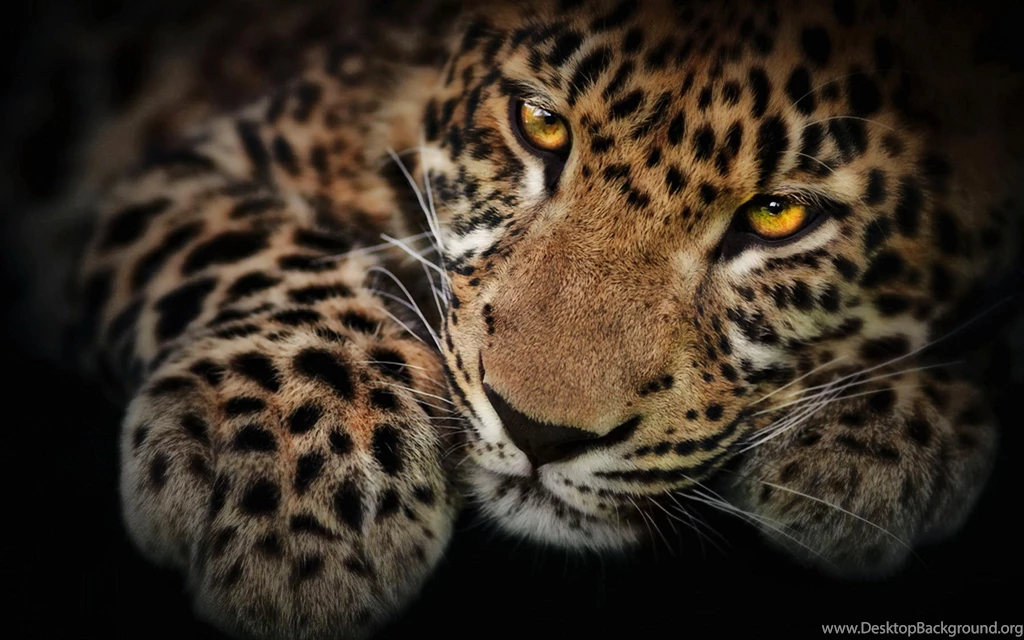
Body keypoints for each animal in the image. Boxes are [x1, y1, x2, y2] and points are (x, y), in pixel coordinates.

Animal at [4, 0, 1023, 638]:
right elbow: (257, 246)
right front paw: (298, 502)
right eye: (539, 124)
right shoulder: (178, 172)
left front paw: (879, 439)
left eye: (779, 215)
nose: (539, 434)